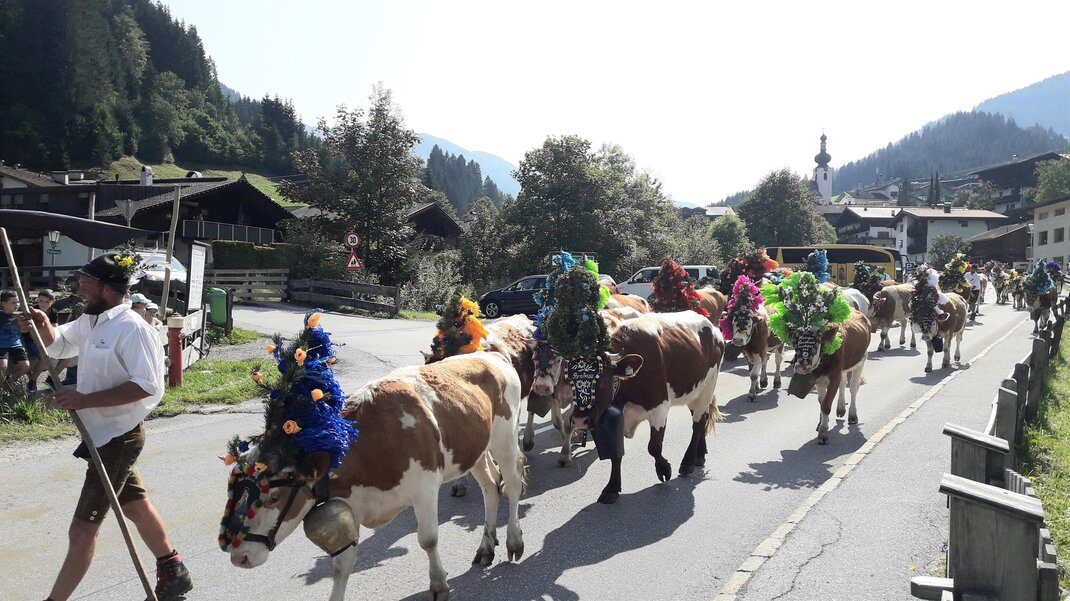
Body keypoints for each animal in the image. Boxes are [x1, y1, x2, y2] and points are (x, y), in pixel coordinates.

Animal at [223, 352, 526, 601]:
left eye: (275, 496)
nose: (239, 558)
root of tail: (492, 355)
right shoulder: (355, 503)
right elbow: (342, 564)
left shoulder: (425, 489)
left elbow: (428, 539)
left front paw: (439, 585)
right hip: (475, 450)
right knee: (490, 486)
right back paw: (486, 547)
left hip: (505, 439)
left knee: (511, 484)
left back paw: (513, 541)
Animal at [570, 311, 725, 504]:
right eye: (569, 380)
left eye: (603, 380)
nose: (579, 419)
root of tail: (711, 326)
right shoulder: (611, 415)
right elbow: (615, 454)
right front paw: (612, 488)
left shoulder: (659, 408)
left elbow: (654, 447)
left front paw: (664, 469)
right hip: (694, 391)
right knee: (702, 418)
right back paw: (700, 455)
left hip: (708, 386)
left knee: (697, 424)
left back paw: (688, 463)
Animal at [788, 310, 870, 444]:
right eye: (795, 343)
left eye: (816, 343)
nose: (800, 366)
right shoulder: (818, 380)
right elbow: (822, 402)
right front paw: (822, 424)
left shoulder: (834, 377)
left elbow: (826, 405)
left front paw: (823, 433)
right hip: (843, 369)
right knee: (843, 382)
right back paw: (841, 409)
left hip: (861, 361)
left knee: (853, 386)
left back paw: (852, 415)